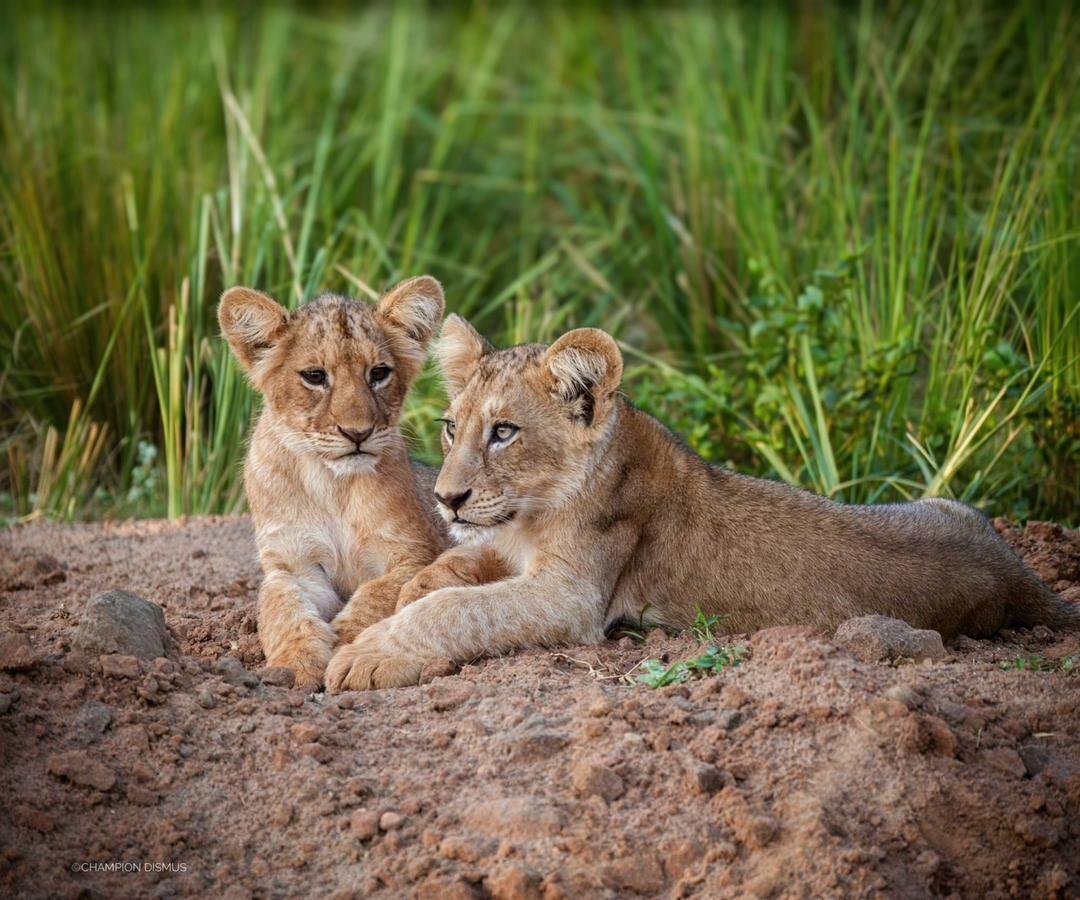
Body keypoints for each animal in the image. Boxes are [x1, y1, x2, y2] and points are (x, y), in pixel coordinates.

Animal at [218, 276, 450, 690]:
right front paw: (296, 663)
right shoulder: (293, 564)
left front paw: (346, 643)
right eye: (314, 376)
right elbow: (281, 609)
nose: (357, 433)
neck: (331, 483)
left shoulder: (414, 554)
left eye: (379, 373)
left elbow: (376, 596)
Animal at [325, 316, 1077, 691]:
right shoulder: (512, 553)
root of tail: (1021, 575)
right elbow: (452, 573)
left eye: (504, 432)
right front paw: (399, 596)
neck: (535, 514)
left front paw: (370, 652)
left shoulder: (572, 600)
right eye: (452, 428)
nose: (446, 497)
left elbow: (458, 608)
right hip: (951, 503)